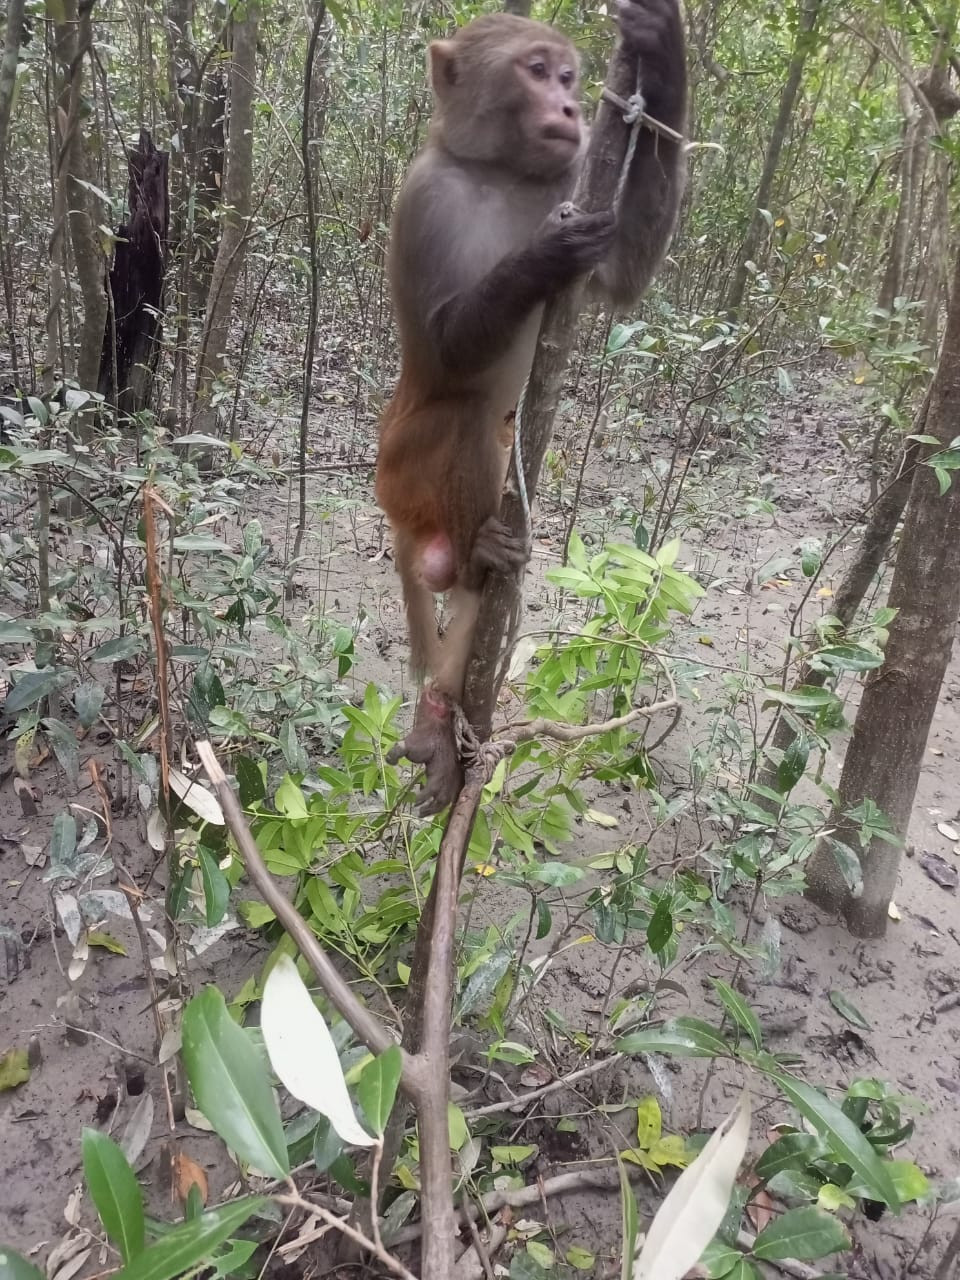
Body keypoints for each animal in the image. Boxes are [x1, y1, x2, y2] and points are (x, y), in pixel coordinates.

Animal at [376, 1, 687, 815]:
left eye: (571, 76)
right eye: (537, 71)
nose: (572, 107)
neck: (500, 172)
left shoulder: (572, 177)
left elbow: (624, 276)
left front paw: (662, 52)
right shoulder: (423, 197)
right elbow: (446, 350)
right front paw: (544, 257)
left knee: (484, 592)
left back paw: (443, 716)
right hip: (398, 472)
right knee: (464, 415)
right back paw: (479, 555)